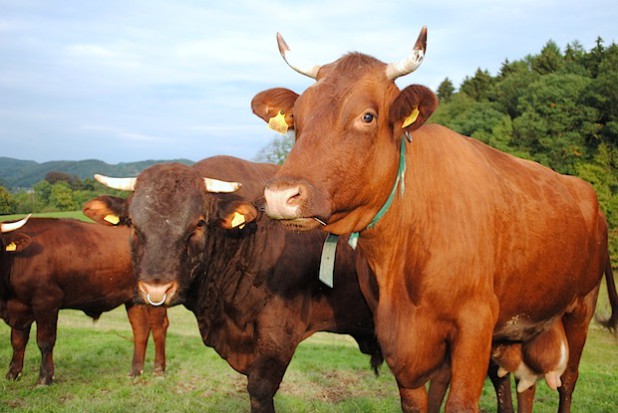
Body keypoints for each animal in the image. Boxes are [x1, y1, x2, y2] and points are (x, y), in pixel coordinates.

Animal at [0, 216, 168, 384]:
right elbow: (17, 341)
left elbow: (45, 341)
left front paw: (45, 378)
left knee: (159, 327)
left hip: (155, 296)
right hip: (133, 299)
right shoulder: (20, 308)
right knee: (141, 328)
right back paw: (135, 371)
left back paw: (159, 370)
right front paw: (13, 374)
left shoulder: (46, 303)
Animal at [250, 27, 616, 410]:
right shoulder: (398, 340)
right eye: (297, 118)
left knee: (568, 379)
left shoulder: (475, 323)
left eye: (367, 116)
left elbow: (460, 401)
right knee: (516, 382)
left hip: (582, 306)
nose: (281, 196)